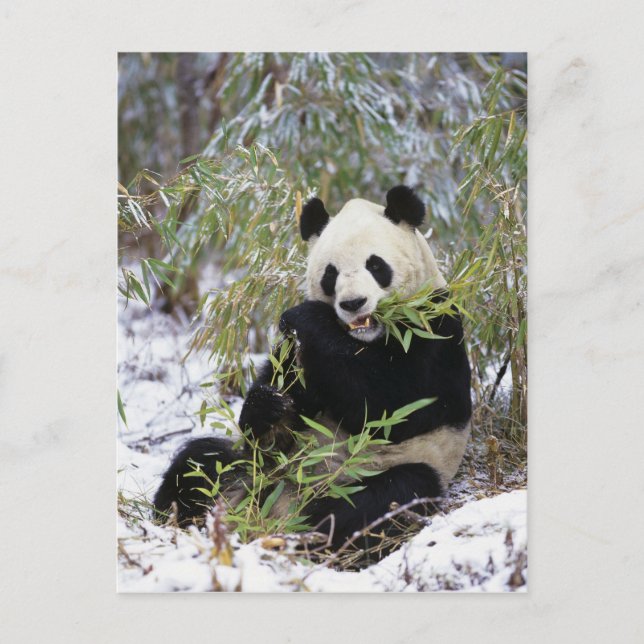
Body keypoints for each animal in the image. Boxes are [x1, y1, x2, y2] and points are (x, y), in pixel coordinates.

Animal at [154, 185, 472, 556]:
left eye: (376, 265)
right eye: (331, 273)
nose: (353, 303)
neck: (362, 338)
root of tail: (282, 499)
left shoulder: (433, 328)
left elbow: (395, 408)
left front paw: (308, 317)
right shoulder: (297, 353)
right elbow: (281, 404)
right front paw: (268, 407)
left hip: (402, 467)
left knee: (384, 498)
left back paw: (308, 531)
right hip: (254, 469)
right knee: (201, 463)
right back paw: (178, 519)